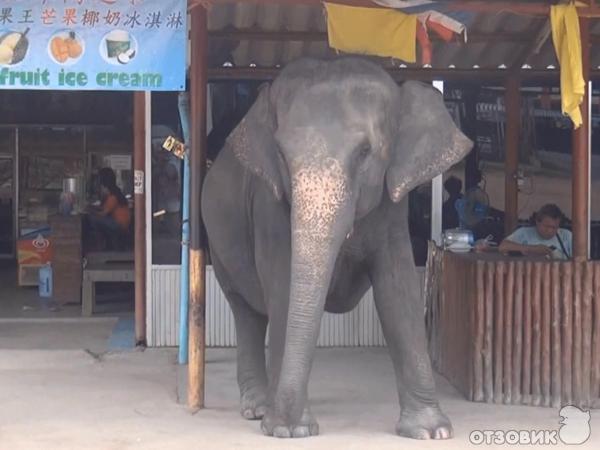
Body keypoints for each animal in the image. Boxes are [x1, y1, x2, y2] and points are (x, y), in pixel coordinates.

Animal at [202, 57, 474, 440]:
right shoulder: (269, 206)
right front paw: (290, 430)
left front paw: (432, 431)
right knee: (247, 312)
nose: (283, 421)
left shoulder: (391, 209)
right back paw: (257, 408)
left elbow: (398, 292)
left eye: (365, 152)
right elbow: (283, 290)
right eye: (282, 155)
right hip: (217, 241)